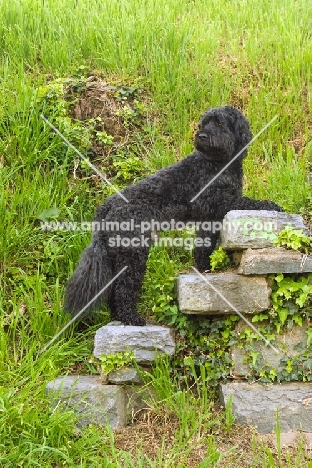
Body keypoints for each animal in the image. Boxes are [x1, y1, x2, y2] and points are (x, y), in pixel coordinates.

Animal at [64, 106, 282, 326]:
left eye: (219, 123)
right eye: (203, 124)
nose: (201, 136)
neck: (217, 164)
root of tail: (104, 208)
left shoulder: (209, 219)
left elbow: (203, 248)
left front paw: (205, 269)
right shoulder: (219, 203)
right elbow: (250, 202)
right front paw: (272, 204)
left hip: (117, 255)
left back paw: (120, 317)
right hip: (133, 253)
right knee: (124, 288)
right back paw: (132, 318)